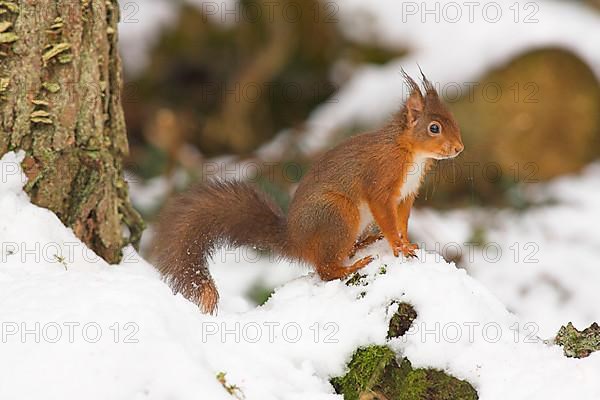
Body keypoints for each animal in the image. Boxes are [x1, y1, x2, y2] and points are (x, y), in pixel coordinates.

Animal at [152, 70, 462, 312]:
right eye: (434, 128)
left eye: (453, 120)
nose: (459, 148)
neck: (409, 152)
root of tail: (296, 240)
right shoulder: (380, 183)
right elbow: (386, 217)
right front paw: (398, 246)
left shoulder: (406, 195)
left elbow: (402, 220)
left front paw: (407, 243)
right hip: (338, 213)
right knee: (324, 270)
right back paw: (351, 266)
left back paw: (361, 245)